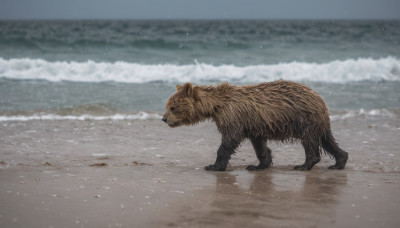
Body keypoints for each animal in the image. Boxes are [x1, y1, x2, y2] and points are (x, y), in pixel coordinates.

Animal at [161, 80, 348, 171]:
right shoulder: (254, 126)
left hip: (304, 118)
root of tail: (319, 97)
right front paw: (258, 165)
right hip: (318, 122)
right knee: (327, 140)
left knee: (310, 141)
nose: (163, 118)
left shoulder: (234, 117)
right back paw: (339, 161)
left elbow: (229, 141)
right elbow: (260, 146)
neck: (216, 106)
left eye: (172, 107)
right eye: (168, 105)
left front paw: (214, 166)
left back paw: (304, 165)